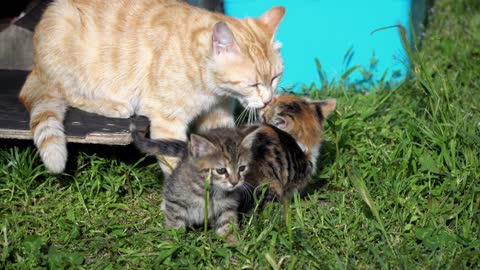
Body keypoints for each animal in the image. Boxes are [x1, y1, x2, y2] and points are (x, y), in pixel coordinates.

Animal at [18, 0, 284, 173]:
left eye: (275, 78)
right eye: (252, 84)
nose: (268, 100)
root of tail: (35, 66)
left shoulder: (217, 116)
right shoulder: (168, 123)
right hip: (64, 34)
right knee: (68, 94)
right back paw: (113, 105)